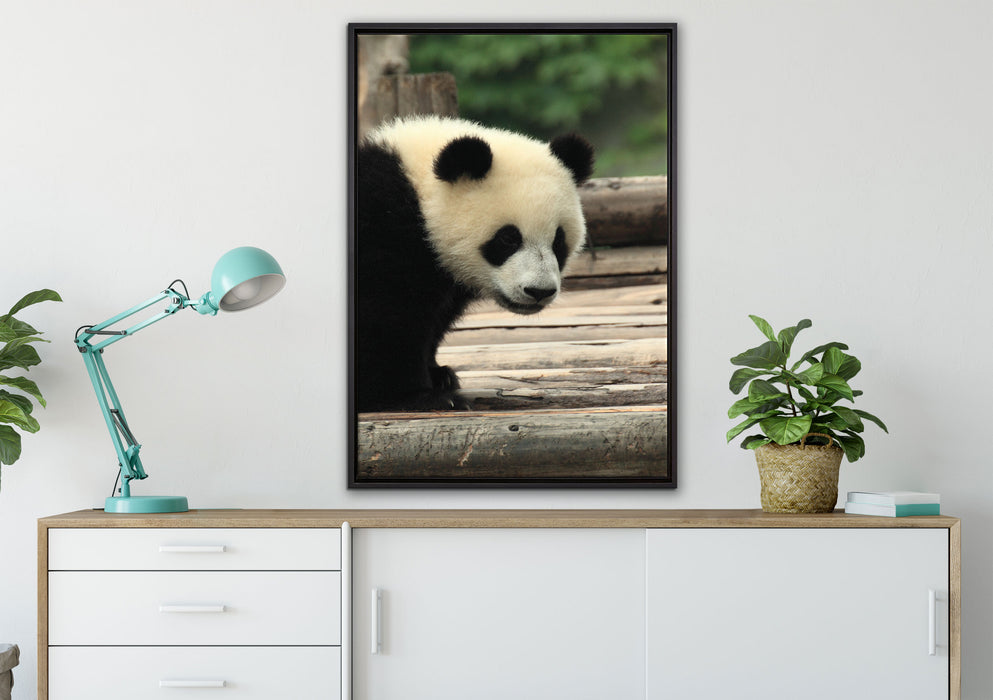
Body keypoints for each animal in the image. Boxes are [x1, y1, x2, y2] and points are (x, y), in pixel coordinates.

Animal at [355, 115, 594, 412]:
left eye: (558, 241)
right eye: (507, 238)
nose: (539, 292)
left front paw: (440, 375)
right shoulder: (381, 234)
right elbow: (384, 317)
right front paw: (415, 396)